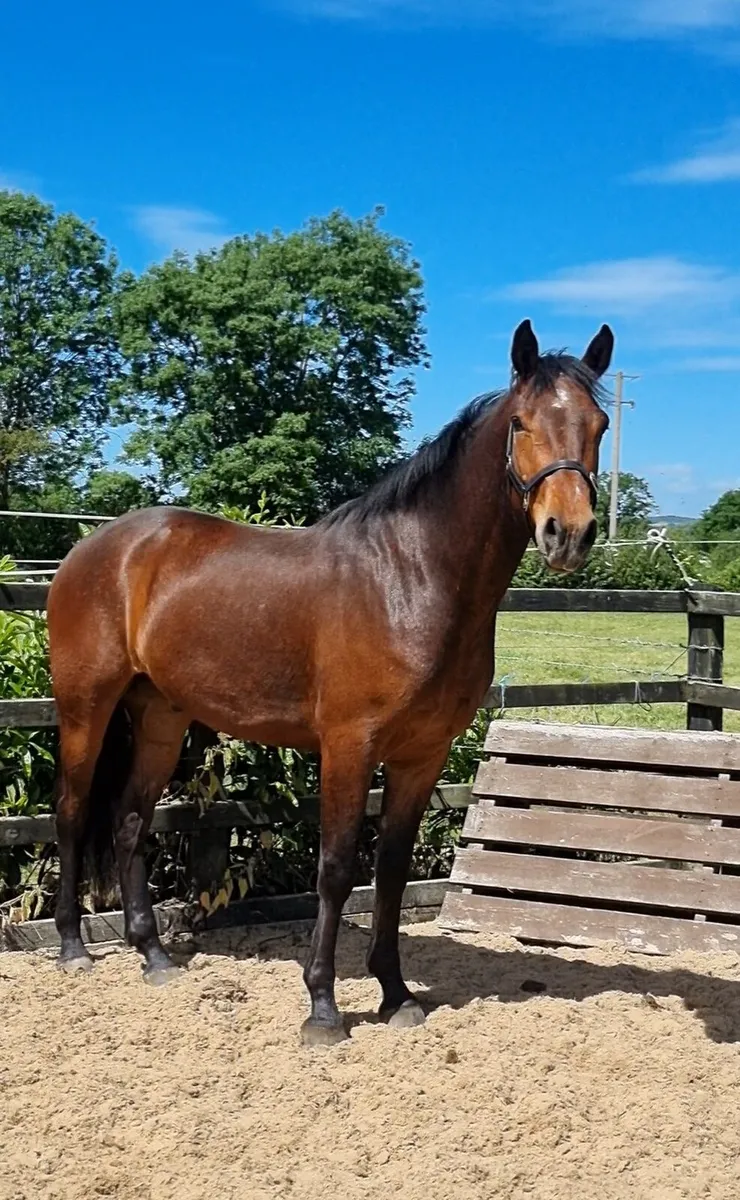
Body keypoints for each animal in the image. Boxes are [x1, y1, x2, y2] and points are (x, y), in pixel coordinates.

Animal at [47, 317, 613, 1046]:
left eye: (600, 424)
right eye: (521, 422)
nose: (567, 533)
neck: (411, 576)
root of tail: (94, 549)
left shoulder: (422, 755)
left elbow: (392, 872)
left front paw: (396, 994)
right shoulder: (348, 746)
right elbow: (338, 870)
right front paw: (322, 1006)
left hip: (160, 717)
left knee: (127, 821)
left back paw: (153, 955)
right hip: (84, 707)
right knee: (69, 811)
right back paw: (72, 948)